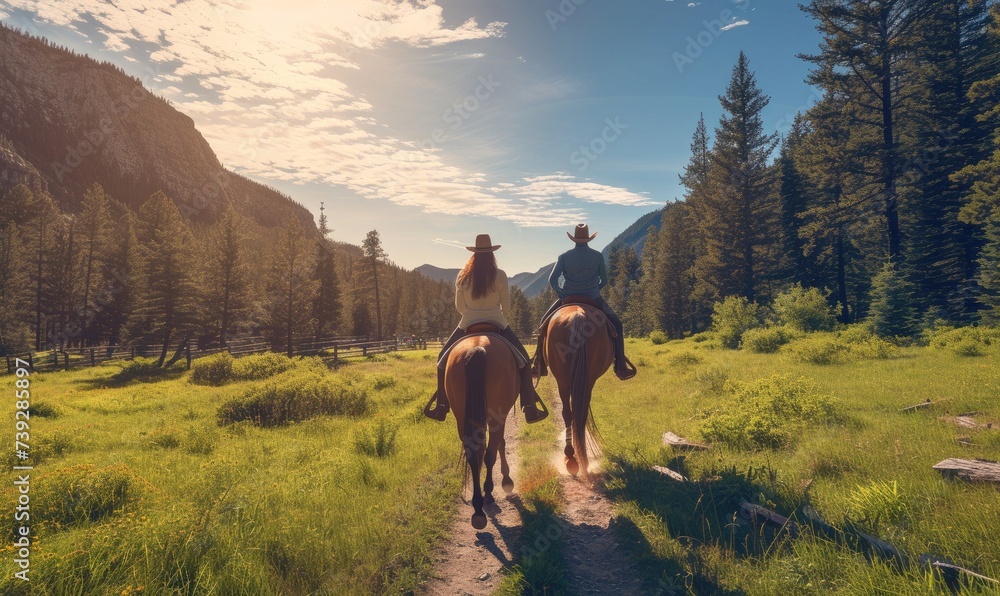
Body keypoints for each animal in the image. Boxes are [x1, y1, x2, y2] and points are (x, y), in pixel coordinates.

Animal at [448, 336, 520, 528]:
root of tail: (477, 347)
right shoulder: (499, 417)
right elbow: (500, 444)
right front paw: (506, 480)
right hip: (495, 414)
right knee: (490, 453)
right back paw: (487, 494)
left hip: (461, 416)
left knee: (474, 455)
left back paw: (478, 509)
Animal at [544, 304, 612, 478]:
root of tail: (577, 316)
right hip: (585, 379)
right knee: (577, 414)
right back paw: (576, 460)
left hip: (563, 379)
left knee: (570, 414)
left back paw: (572, 459)